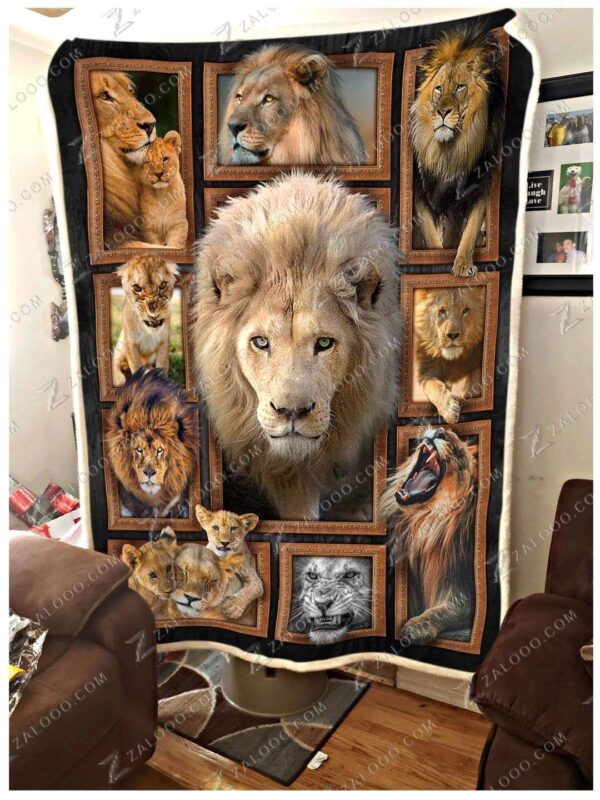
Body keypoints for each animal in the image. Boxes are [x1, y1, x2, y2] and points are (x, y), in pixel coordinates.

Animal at [112, 256, 178, 387]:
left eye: (163, 285)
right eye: (137, 288)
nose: (153, 311)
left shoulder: (163, 342)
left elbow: (163, 365)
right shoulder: (130, 344)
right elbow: (136, 366)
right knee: (115, 361)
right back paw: (119, 380)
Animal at [380, 427, 478, 645]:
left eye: (459, 452)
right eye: (442, 431)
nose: (440, 431)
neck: (423, 521)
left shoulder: (461, 587)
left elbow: (445, 610)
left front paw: (414, 628)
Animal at [410, 27, 505, 276]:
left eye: (460, 87)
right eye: (439, 88)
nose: (443, 111)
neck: (449, 152)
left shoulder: (481, 185)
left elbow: (470, 229)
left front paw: (462, 264)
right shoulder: (419, 191)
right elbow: (432, 235)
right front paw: (435, 258)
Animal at [414, 286, 485, 423]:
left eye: (465, 310)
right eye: (442, 311)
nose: (452, 335)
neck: (452, 360)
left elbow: (475, 379)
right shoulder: (426, 373)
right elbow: (434, 385)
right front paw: (449, 409)